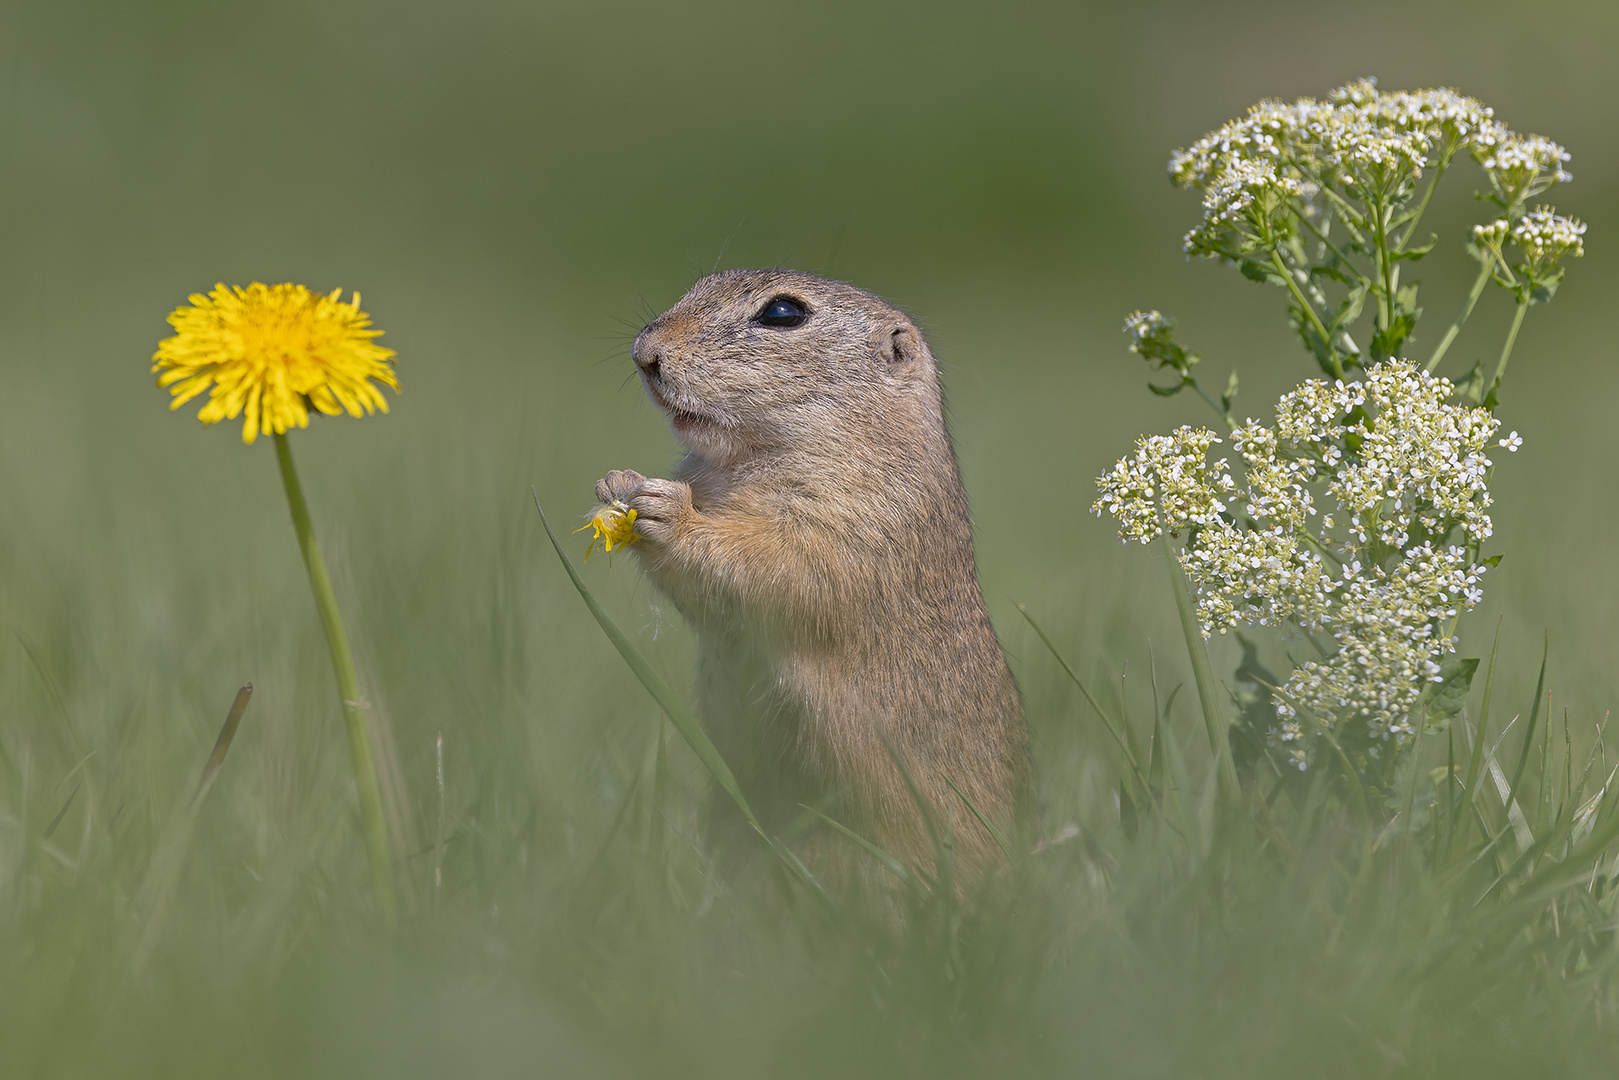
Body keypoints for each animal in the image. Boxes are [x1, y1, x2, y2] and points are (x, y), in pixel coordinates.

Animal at [595, 270, 1023, 893]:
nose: (643, 353)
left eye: (782, 313)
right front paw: (616, 481)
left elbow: (780, 568)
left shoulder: (857, 520)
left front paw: (666, 510)